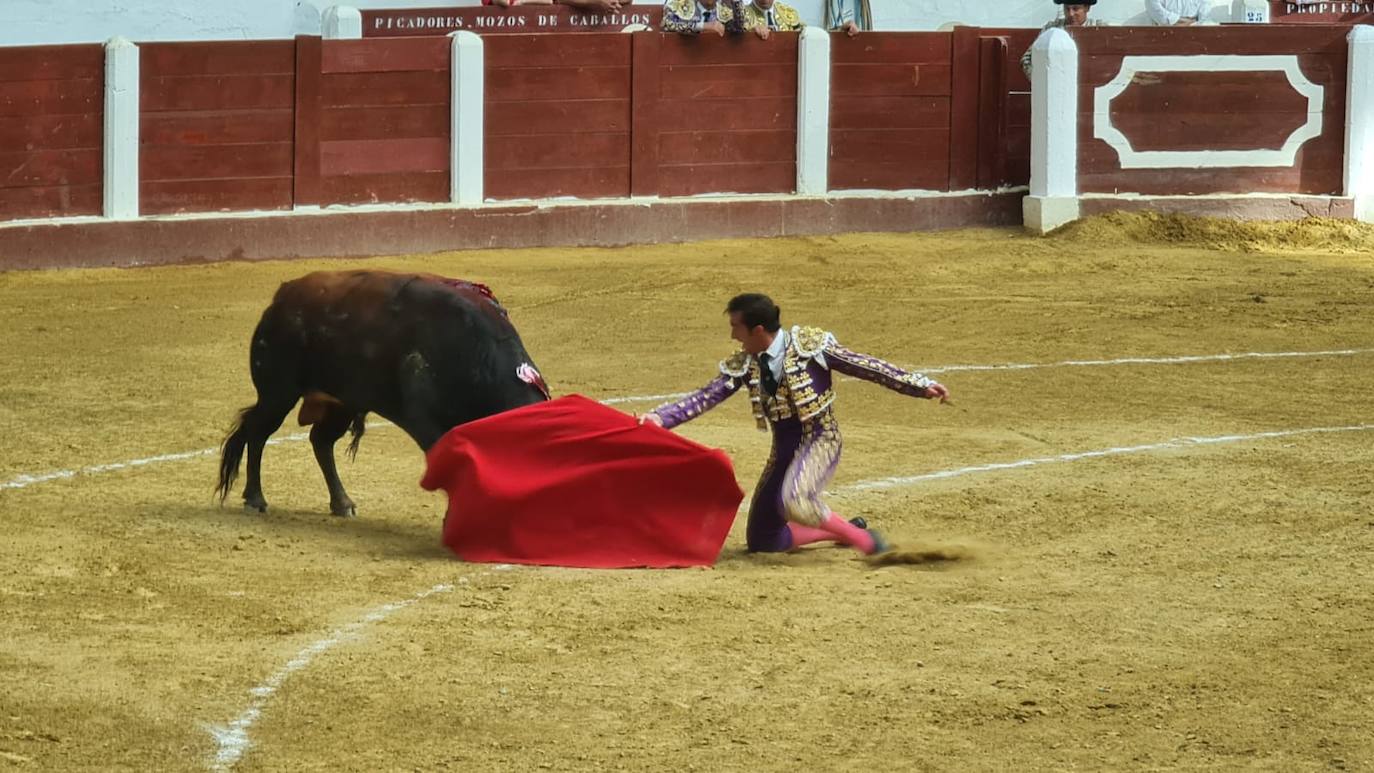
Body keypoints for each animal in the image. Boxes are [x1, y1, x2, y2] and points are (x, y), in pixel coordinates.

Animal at [214, 269, 546, 516]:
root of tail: (282, 296)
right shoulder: (426, 422)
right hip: (278, 392)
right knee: (258, 430)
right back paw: (256, 499)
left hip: (341, 402)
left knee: (320, 440)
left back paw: (342, 504)